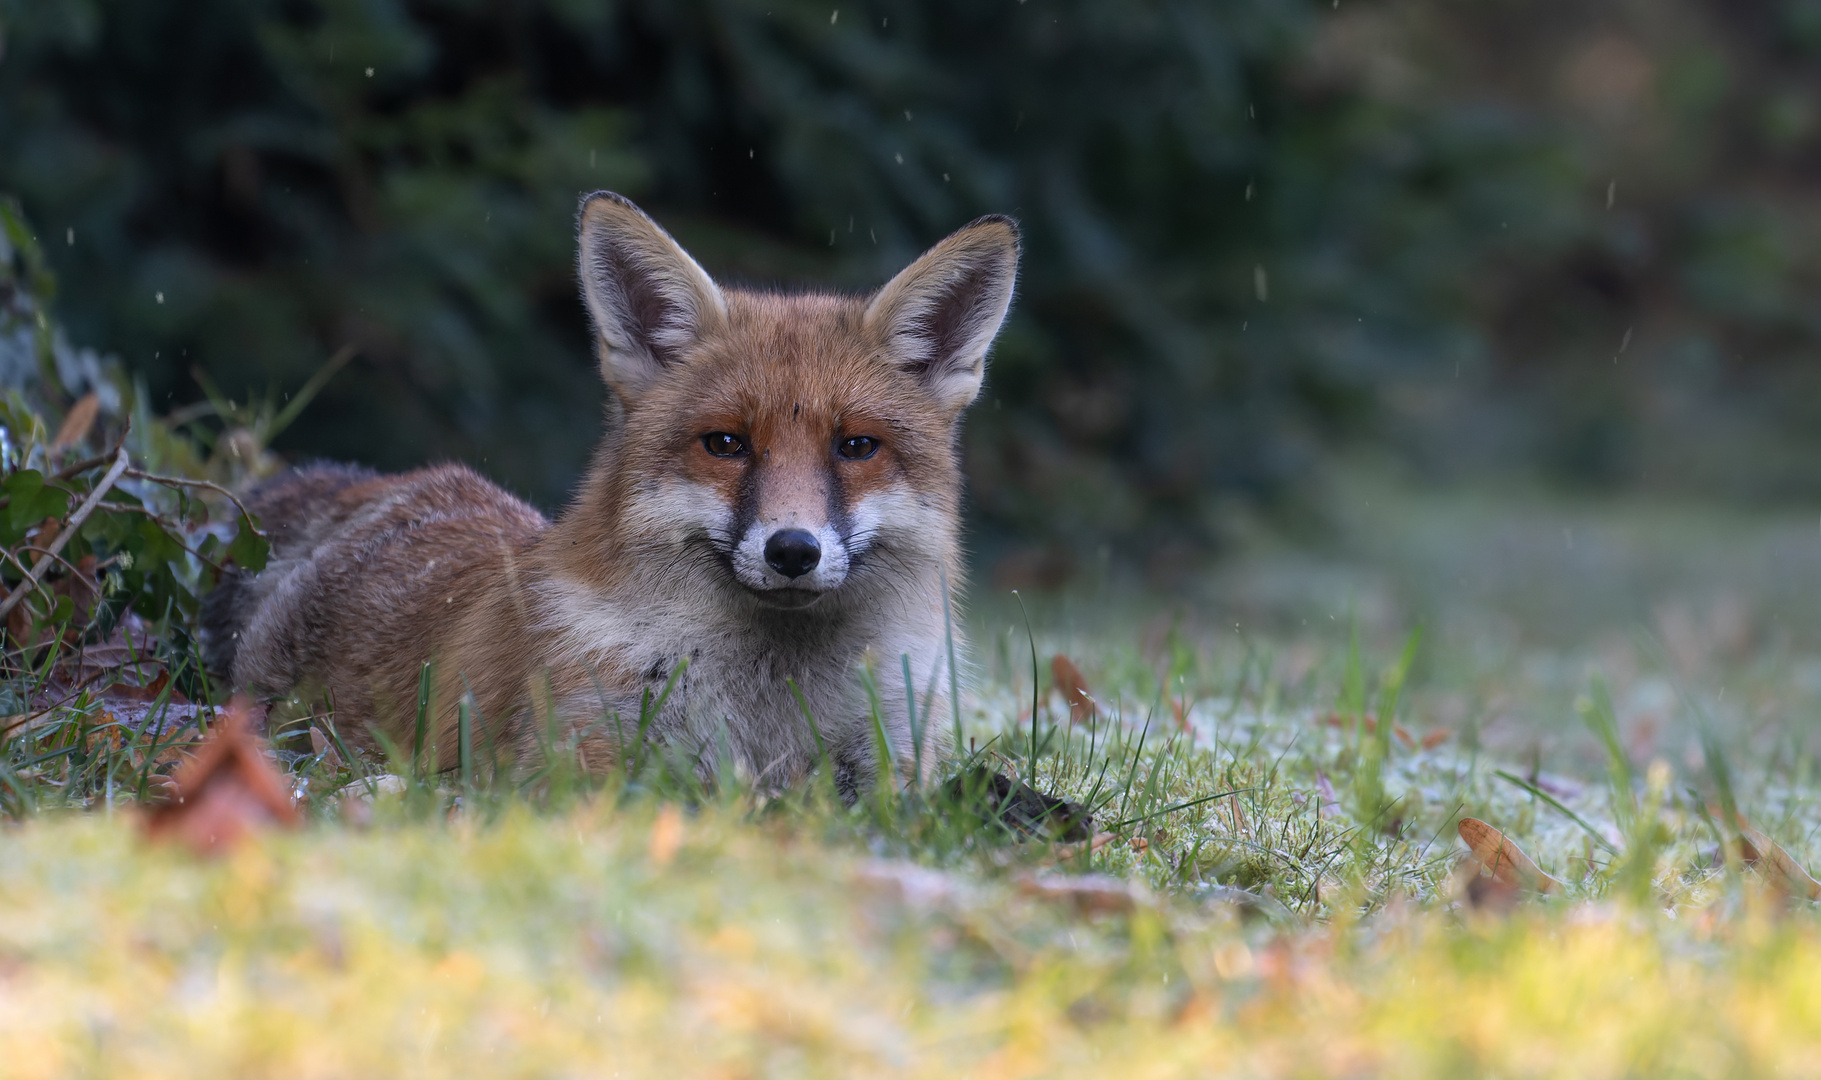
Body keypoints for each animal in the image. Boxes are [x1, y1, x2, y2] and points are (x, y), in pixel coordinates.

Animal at [209, 193, 1027, 797]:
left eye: (855, 447)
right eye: (725, 444)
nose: (792, 550)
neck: (771, 711)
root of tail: (383, 489)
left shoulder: (891, 773)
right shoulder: (571, 770)